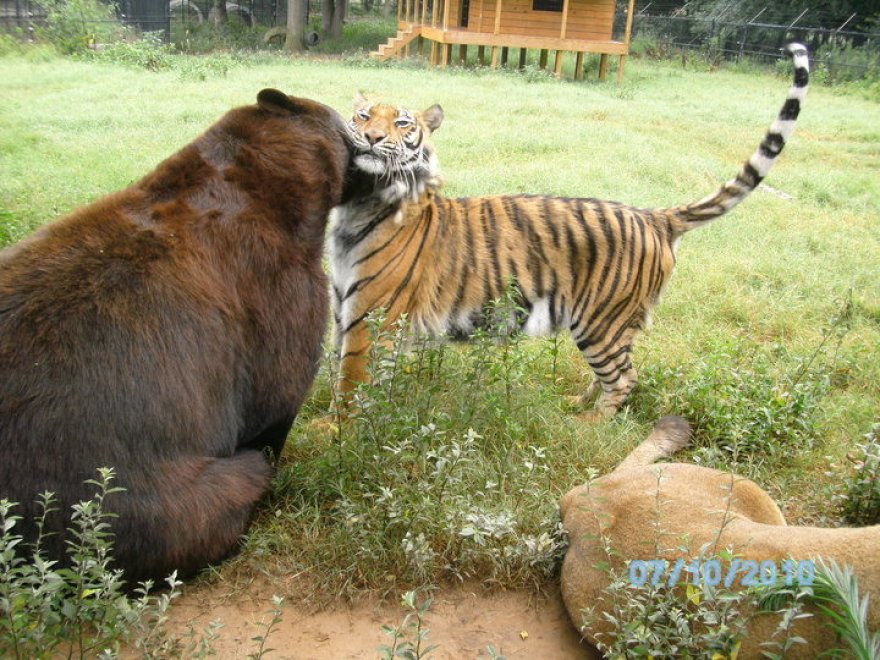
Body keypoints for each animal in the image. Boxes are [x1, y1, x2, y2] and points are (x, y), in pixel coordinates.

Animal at [329, 44, 810, 419]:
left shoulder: (369, 317)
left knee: (625, 378)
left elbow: (348, 380)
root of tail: (654, 216)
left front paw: (334, 433)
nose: (372, 137)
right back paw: (577, 404)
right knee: (617, 372)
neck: (360, 203)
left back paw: (590, 424)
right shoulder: (346, 309)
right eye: (363, 115)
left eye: (402, 124)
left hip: (601, 322)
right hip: (610, 327)